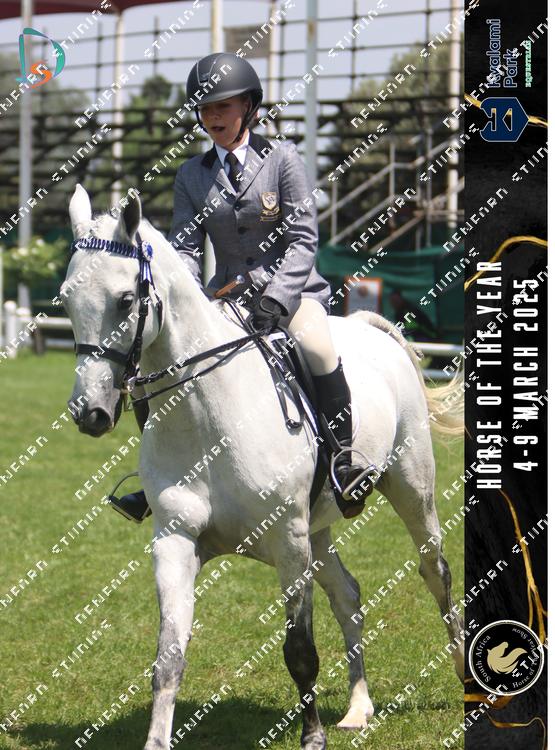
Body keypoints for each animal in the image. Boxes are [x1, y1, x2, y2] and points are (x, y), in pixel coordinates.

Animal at [63, 184, 464, 750]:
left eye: (124, 300)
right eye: (65, 301)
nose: (90, 413)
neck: (205, 414)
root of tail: (365, 329)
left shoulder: (288, 540)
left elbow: (299, 652)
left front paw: (311, 738)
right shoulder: (175, 540)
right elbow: (168, 659)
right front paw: (157, 738)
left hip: (409, 488)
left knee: (436, 571)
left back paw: (464, 676)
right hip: (318, 528)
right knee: (349, 595)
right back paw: (358, 708)